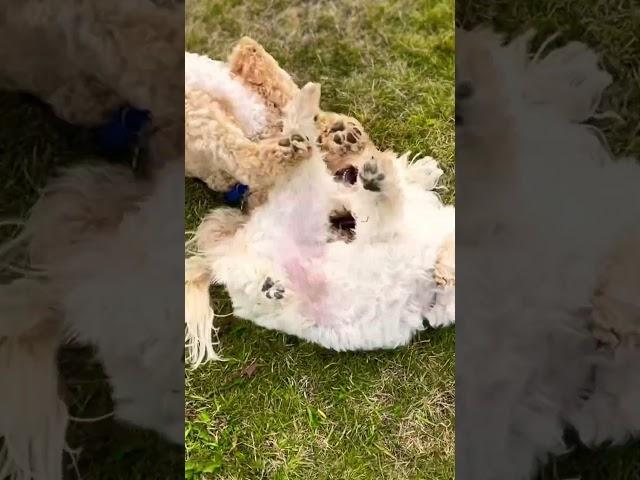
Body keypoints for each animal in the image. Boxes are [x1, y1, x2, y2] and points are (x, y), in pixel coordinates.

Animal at [185, 82, 456, 366]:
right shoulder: (383, 222)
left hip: (299, 203)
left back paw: (269, 286)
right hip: (310, 191)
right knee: (302, 146)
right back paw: (309, 103)